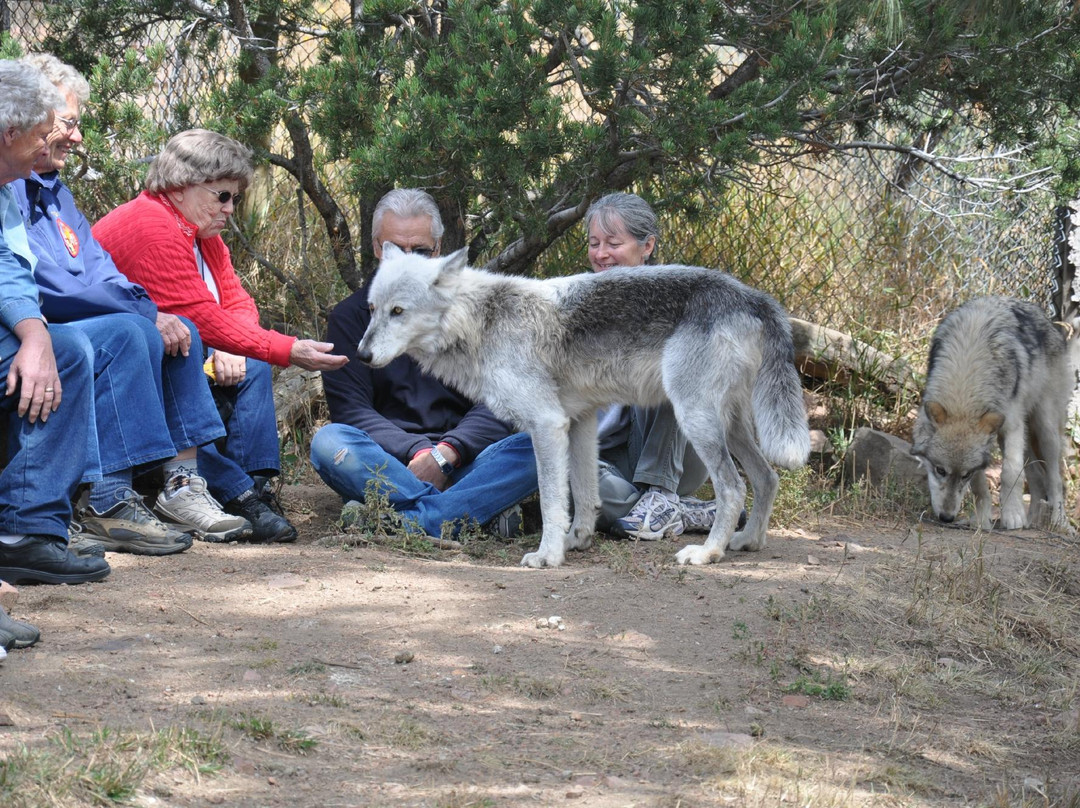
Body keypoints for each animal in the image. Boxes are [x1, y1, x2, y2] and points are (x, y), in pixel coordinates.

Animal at [356, 244, 811, 568]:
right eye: (372, 310)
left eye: (399, 311)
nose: (360, 355)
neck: (482, 321)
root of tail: (753, 297)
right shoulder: (580, 421)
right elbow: (583, 491)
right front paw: (577, 540)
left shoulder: (546, 424)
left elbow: (551, 499)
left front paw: (547, 555)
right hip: (731, 426)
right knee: (768, 478)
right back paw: (747, 541)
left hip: (695, 418)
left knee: (733, 488)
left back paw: (707, 553)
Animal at [911, 296, 1071, 531]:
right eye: (940, 470)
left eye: (964, 475)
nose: (946, 517)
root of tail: (1050, 322)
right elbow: (980, 485)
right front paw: (981, 519)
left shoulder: (1012, 426)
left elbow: (1010, 473)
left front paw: (1012, 516)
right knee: (1037, 479)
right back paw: (1031, 520)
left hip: (1045, 430)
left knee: (1054, 478)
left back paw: (1059, 521)